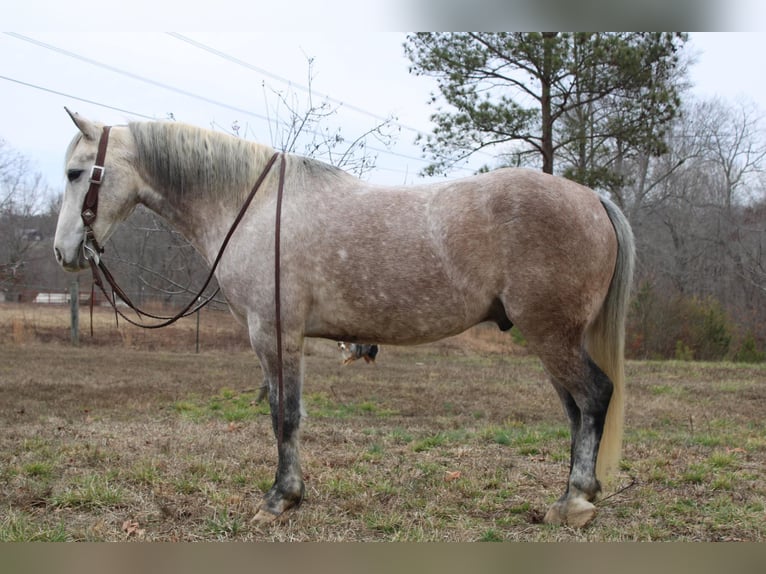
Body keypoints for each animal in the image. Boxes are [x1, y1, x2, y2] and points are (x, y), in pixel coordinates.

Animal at [54, 110, 636, 528]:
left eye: (75, 173)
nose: (65, 252)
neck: (252, 206)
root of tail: (592, 198)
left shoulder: (275, 334)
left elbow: (284, 417)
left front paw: (281, 499)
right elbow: (284, 415)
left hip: (552, 336)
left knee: (594, 397)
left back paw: (574, 503)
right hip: (553, 339)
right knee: (576, 412)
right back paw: (576, 494)